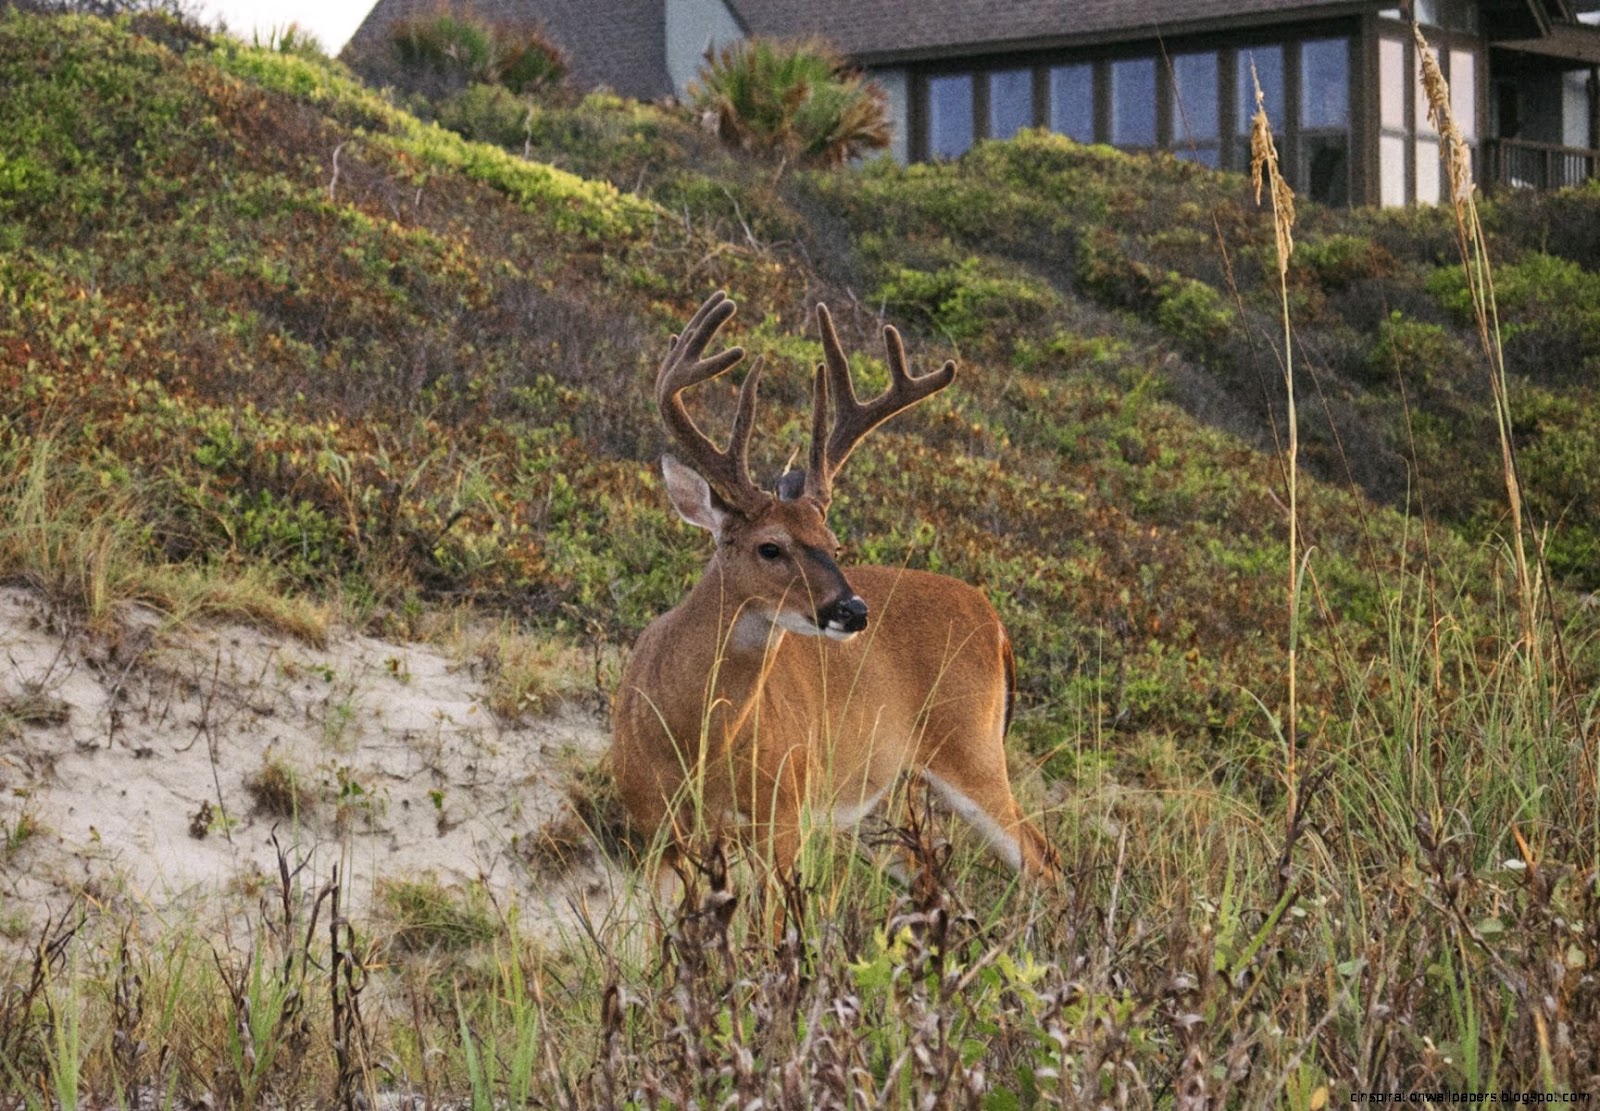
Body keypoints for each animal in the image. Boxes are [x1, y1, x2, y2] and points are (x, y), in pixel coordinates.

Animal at [611, 291, 1059, 891]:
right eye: (770, 547)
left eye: (835, 542)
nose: (853, 609)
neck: (688, 740)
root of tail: (996, 624)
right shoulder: (654, 826)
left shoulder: (784, 811)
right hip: (881, 801)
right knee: (932, 871)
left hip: (972, 748)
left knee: (1044, 860)